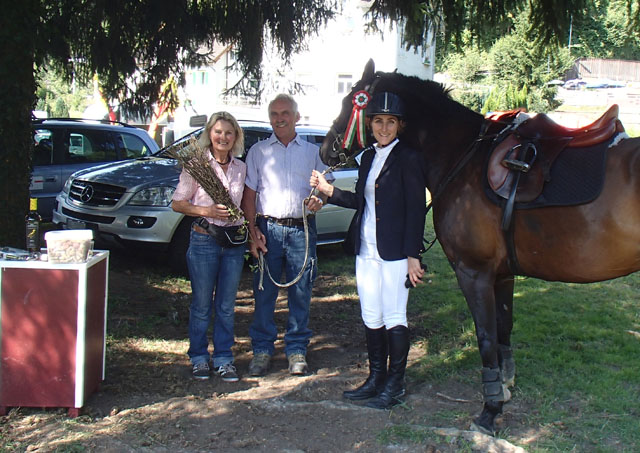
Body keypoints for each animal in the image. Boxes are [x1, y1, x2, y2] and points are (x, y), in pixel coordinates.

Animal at [318, 58, 640, 432]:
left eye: (352, 100)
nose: (326, 149)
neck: (463, 157)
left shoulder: (474, 273)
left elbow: (485, 337)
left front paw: (490, 409)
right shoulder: (503, 274)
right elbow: (503, 328)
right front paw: (504, 386)